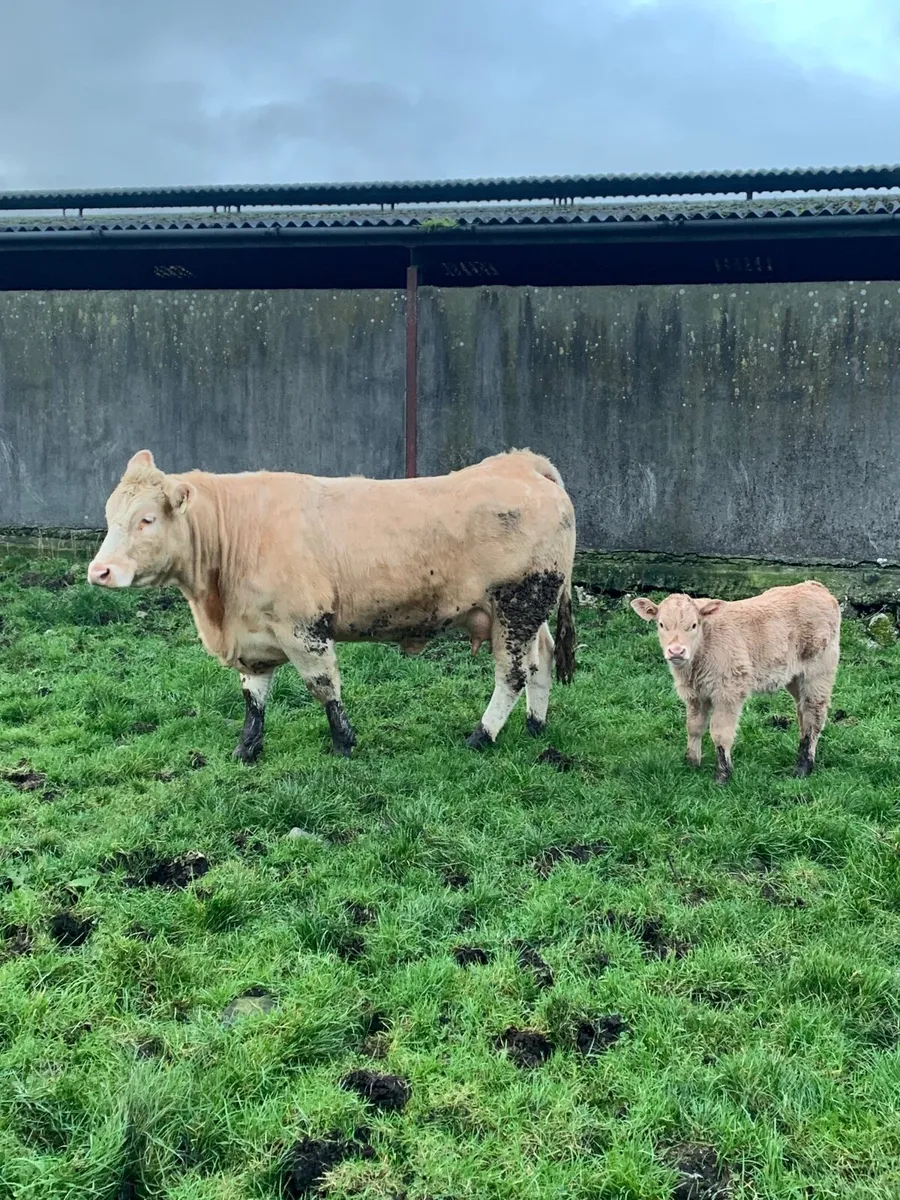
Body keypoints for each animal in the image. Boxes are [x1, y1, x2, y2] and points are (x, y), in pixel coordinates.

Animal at [87, 449, 577, 761]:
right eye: (110, 516)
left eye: (147, 519)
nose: (99, 571)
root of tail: (522, 463)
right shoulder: (255, 636)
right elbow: (254, 698)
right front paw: (247, 748)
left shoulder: (304, 628)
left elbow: (323, 686)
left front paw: (344, 742)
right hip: (526, 612)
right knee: (541, 659)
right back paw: (535, 725)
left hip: (518, 604)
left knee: (511, 674)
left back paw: (482, 736)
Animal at [629, 581, 840, 784]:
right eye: (661, 624)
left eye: (694, 625)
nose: (676, 651)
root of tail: (814, 586)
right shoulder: (694, 694)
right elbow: (694, 726)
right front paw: (691, 763)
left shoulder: (729, 691)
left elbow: (720, 733)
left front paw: (722, 775)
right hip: (795, 678)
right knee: (803, 714)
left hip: (818, 671)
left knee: (814, 715)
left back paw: (803, 767)